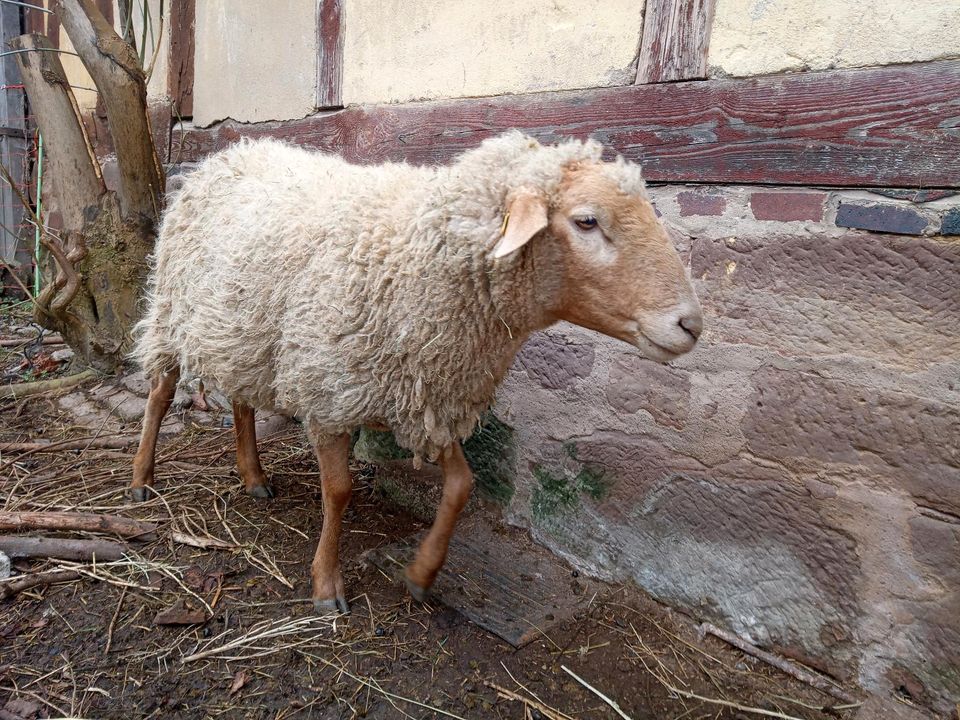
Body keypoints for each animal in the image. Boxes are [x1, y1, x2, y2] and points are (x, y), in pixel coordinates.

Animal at [129, 131, 696, 612]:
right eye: (587, 221)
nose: (691, 324)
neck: (420, 259)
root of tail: (227, 153)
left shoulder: (426, 394)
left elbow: (462, 485)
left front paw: (422, 574)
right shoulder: (331, 390)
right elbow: (338, 491)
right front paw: (327, 584)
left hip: (242, 329)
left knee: (242, 401)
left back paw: (253, 477)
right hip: (173, 313)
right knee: (159, 394)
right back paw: (141, 480)